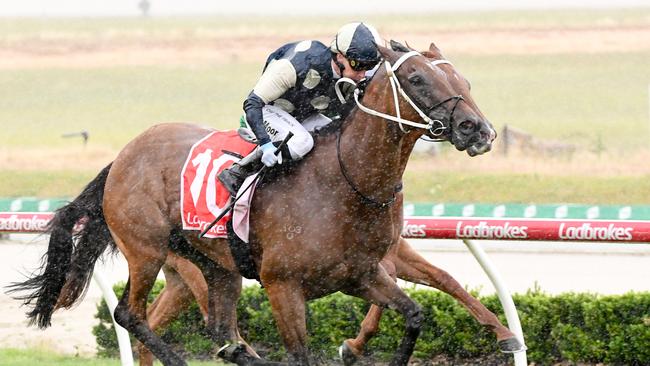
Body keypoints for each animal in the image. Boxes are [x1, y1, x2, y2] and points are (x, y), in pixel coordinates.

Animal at [10, 41, 494, 364]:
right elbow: (300, 355)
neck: (347, 183)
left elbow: (414, 315)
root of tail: (123, 155)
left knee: (221, 331)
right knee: (130, 313)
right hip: (146, 249)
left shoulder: (363, 274)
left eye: (464, 80)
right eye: (417, 79)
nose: (477, 129)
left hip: (217, 265)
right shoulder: (283, 287)